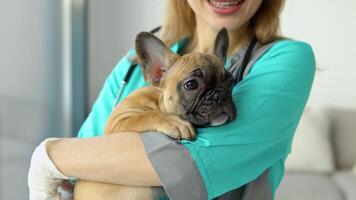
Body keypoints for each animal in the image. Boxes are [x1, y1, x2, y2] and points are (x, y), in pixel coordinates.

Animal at [74, 28, 236, 200]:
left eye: (231, 81)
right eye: (191, 84)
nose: (220, 95)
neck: (158, 102)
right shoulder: (118, 122)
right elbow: (146, 116)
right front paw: (175, 123)